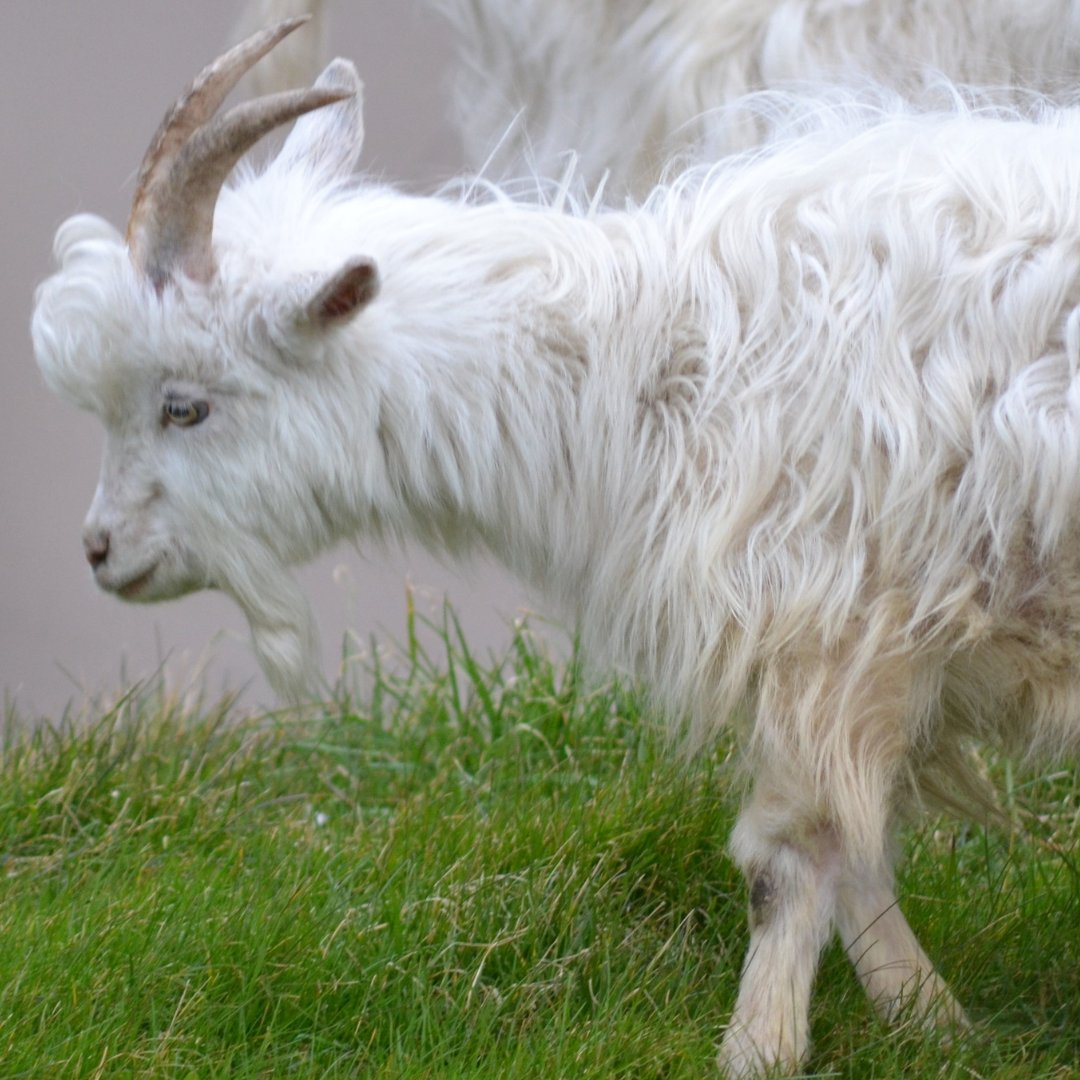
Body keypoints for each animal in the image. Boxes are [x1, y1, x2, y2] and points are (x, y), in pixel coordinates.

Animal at [31, 20, 1080, 1077]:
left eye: (184, 406)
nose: (100, 550)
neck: (652, 369)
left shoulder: (826, 622)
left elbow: (793, 860)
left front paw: (758, 1049)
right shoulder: (859, 655)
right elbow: (856, 852)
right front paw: (934, 1020)